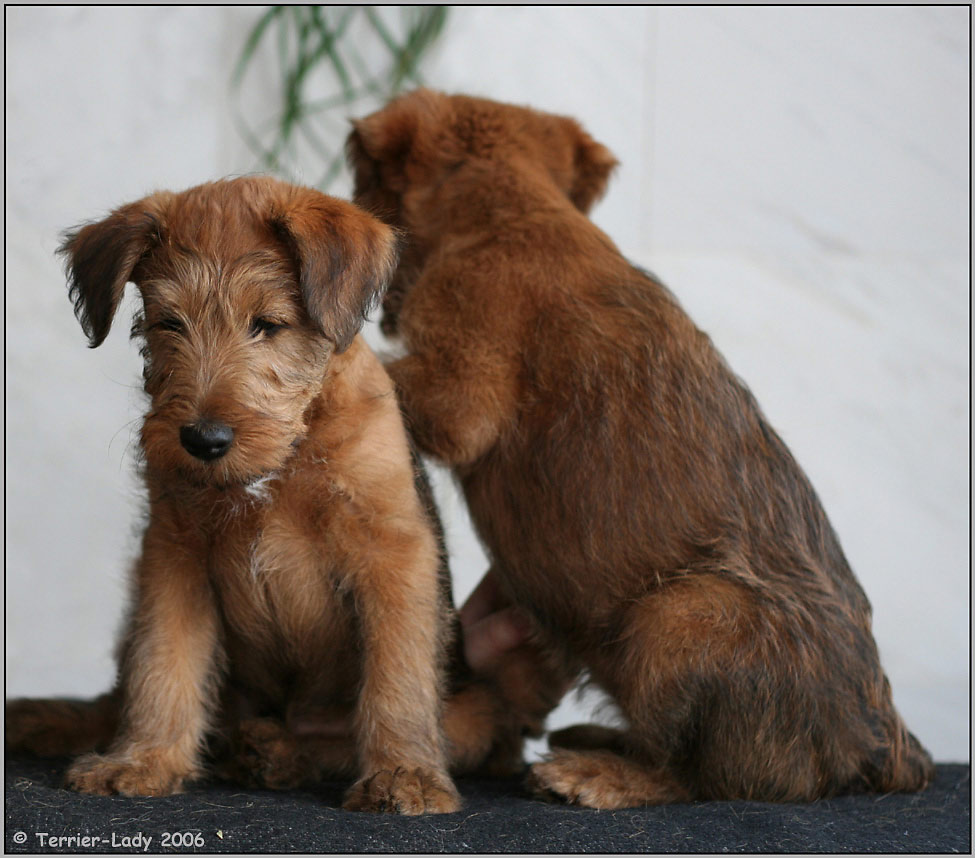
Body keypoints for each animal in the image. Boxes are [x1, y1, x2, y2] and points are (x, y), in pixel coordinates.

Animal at [3, 177, 468, 812]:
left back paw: (272, 754)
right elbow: (162, 663)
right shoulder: (174, 554)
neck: (283, 460)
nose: (203, 440)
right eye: (169, 323)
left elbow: (398, 675)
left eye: (267, 323)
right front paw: (142, 759)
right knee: (119, 696)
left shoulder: (393, 552)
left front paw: (404, 774)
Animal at [346, 90, 936, 804]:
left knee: (697, 776)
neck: (516, 209)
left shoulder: (458, 385)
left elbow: (388, 373)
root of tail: (879, 740)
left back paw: (594, 774)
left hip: (679, 618)